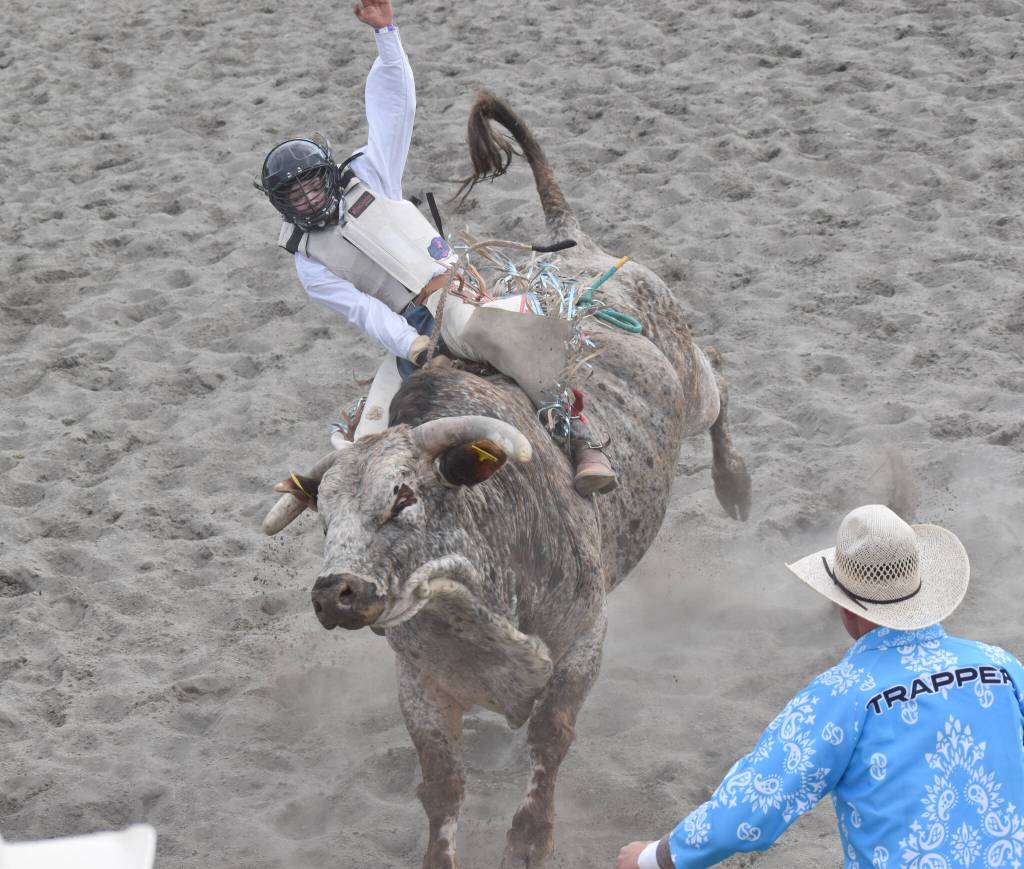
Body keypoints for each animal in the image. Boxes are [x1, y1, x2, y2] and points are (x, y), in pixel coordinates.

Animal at [261, 92, 752, 869]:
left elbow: (550, 739)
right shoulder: (422, 685)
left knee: (721, 383)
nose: (334, 590)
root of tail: (579, 245)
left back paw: (736, 486)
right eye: (324, 515)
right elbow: (441, 785)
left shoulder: (582, 643)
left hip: (691, 377)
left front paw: (528, 839)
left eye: (404, 495)